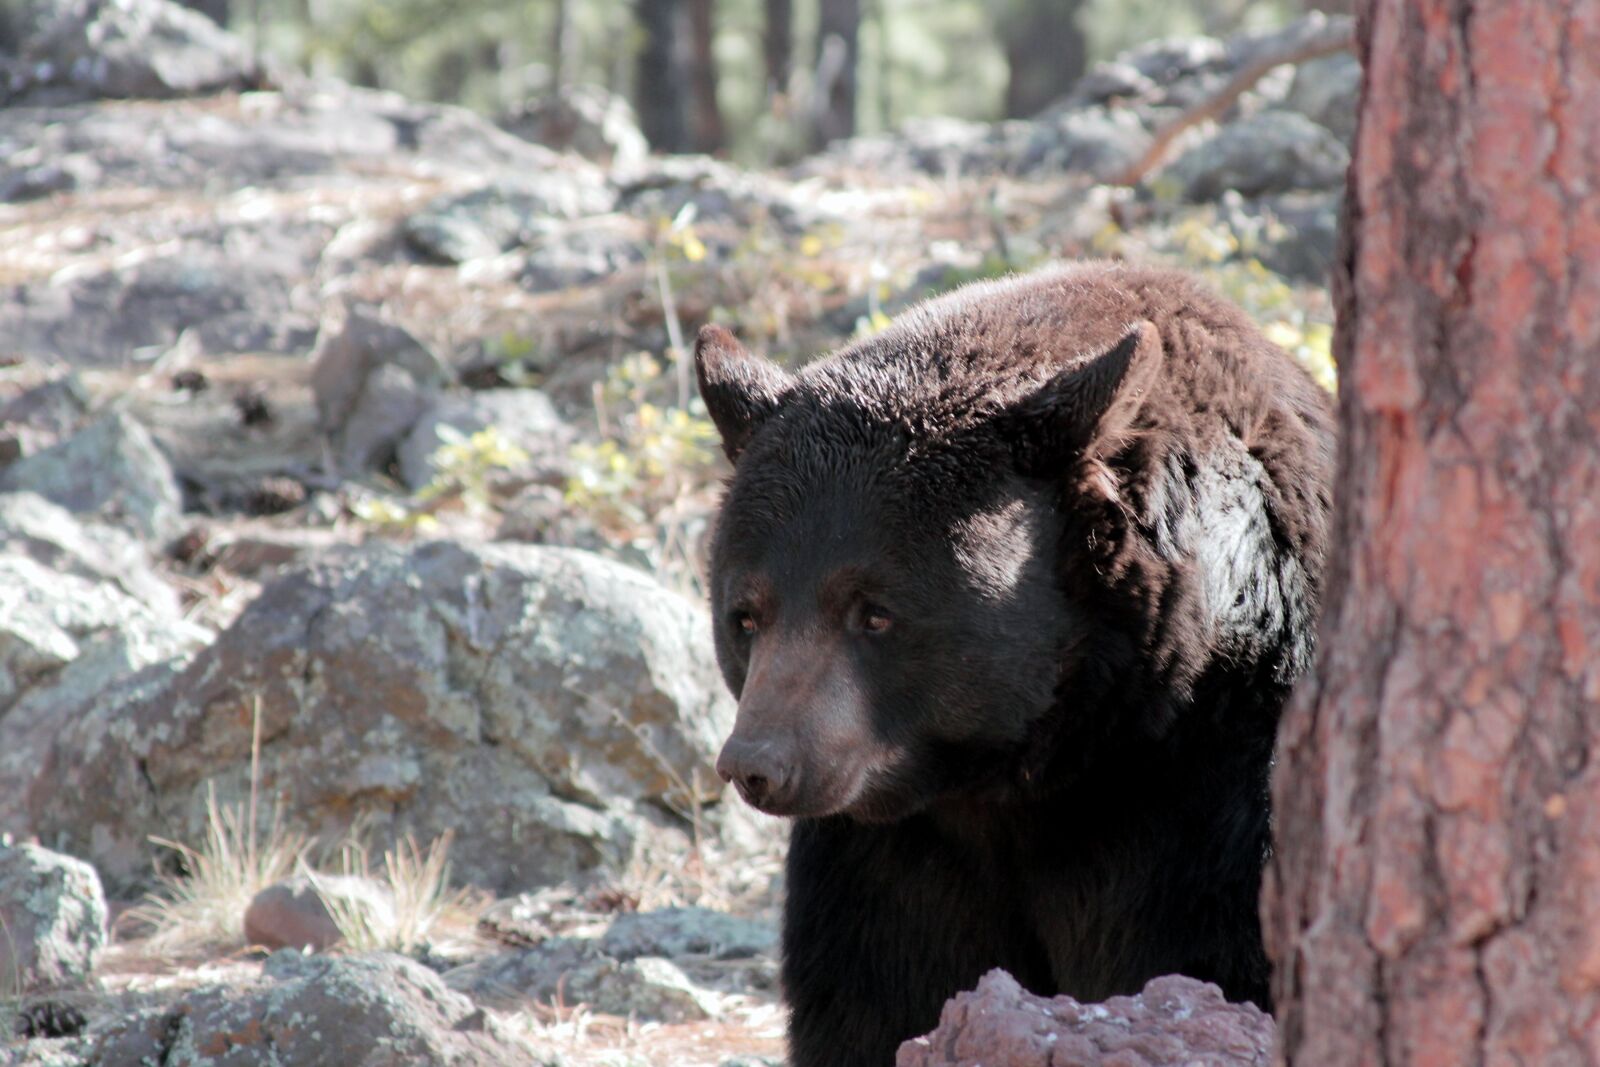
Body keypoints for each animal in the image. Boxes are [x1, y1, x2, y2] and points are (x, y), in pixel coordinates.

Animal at [694, 262, 1335, 1067]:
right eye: (746, 614)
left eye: (874, 611)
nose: (757, 763)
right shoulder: (888, 862)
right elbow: (877, 1003)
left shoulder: (1218, 801)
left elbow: (1215, 960)